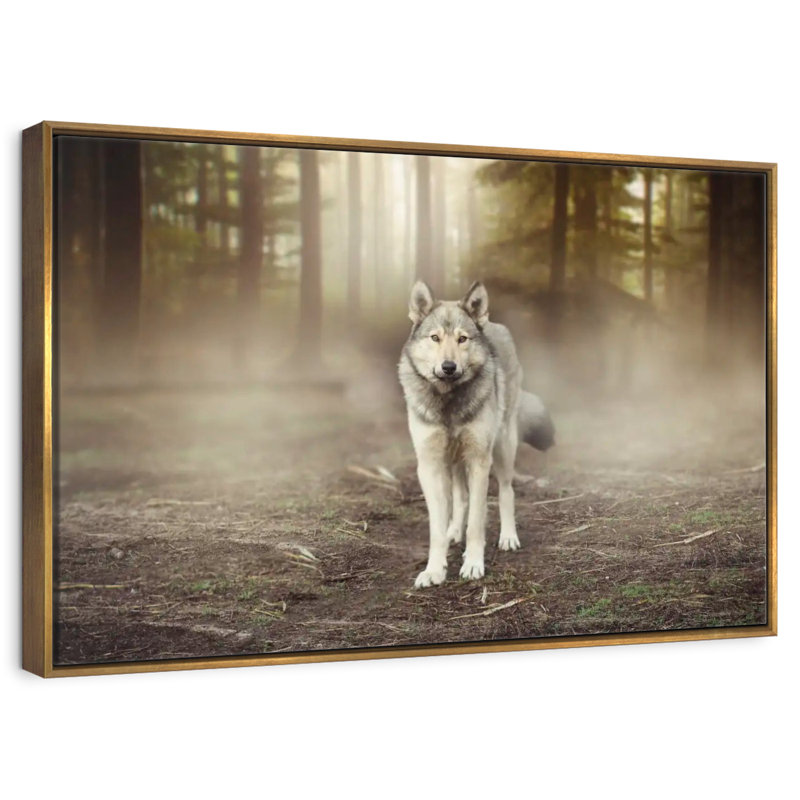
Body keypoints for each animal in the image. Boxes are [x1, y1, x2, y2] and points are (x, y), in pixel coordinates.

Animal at [398, 281, 554, 588]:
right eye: (435, 338)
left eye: (462, 339)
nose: (448, 367)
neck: (449, 402)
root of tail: (493, 323)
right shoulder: (430, 466)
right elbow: (436, 528)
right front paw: (434, 569)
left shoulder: (479, 461)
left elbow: (477, 522)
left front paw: (472, 564)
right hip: (454, 460)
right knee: (460, 498)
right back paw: (453, 532)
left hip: (502, 448)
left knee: (506, 491)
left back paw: (508, 537)